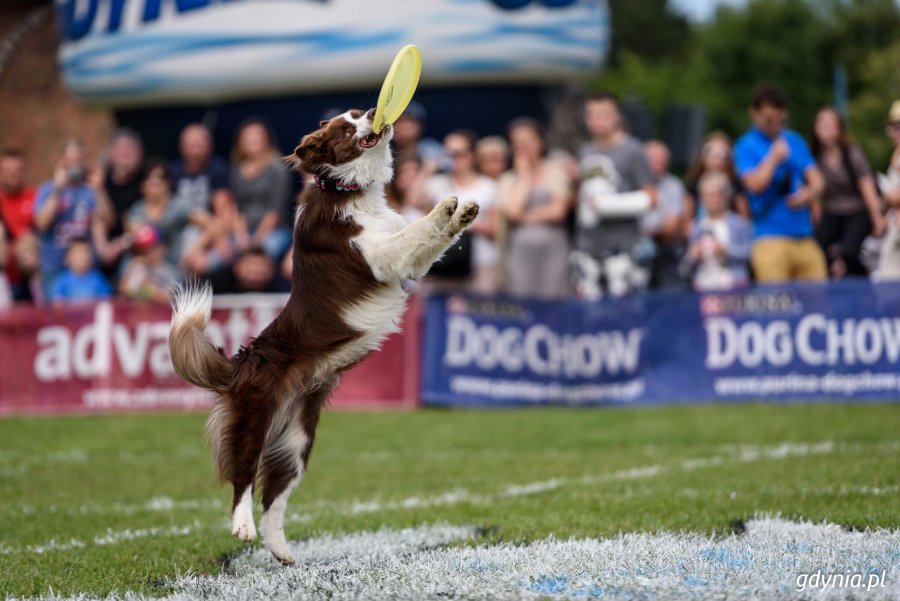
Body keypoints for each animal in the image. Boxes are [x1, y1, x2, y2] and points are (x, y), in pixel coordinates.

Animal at [169, 108, 478, 564]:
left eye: (358, 112)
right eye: (347, 128)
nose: (374, 112)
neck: (348, 190)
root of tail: (243, 361)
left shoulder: (409, 264)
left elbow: (426, 240)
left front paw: (464, 212)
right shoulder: (379, 256)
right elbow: (414, 231)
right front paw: (444, 206)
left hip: (296, 441)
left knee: (274, 498)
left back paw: (282, 552)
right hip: (254, 418)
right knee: (243, 477)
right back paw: (241, 525)